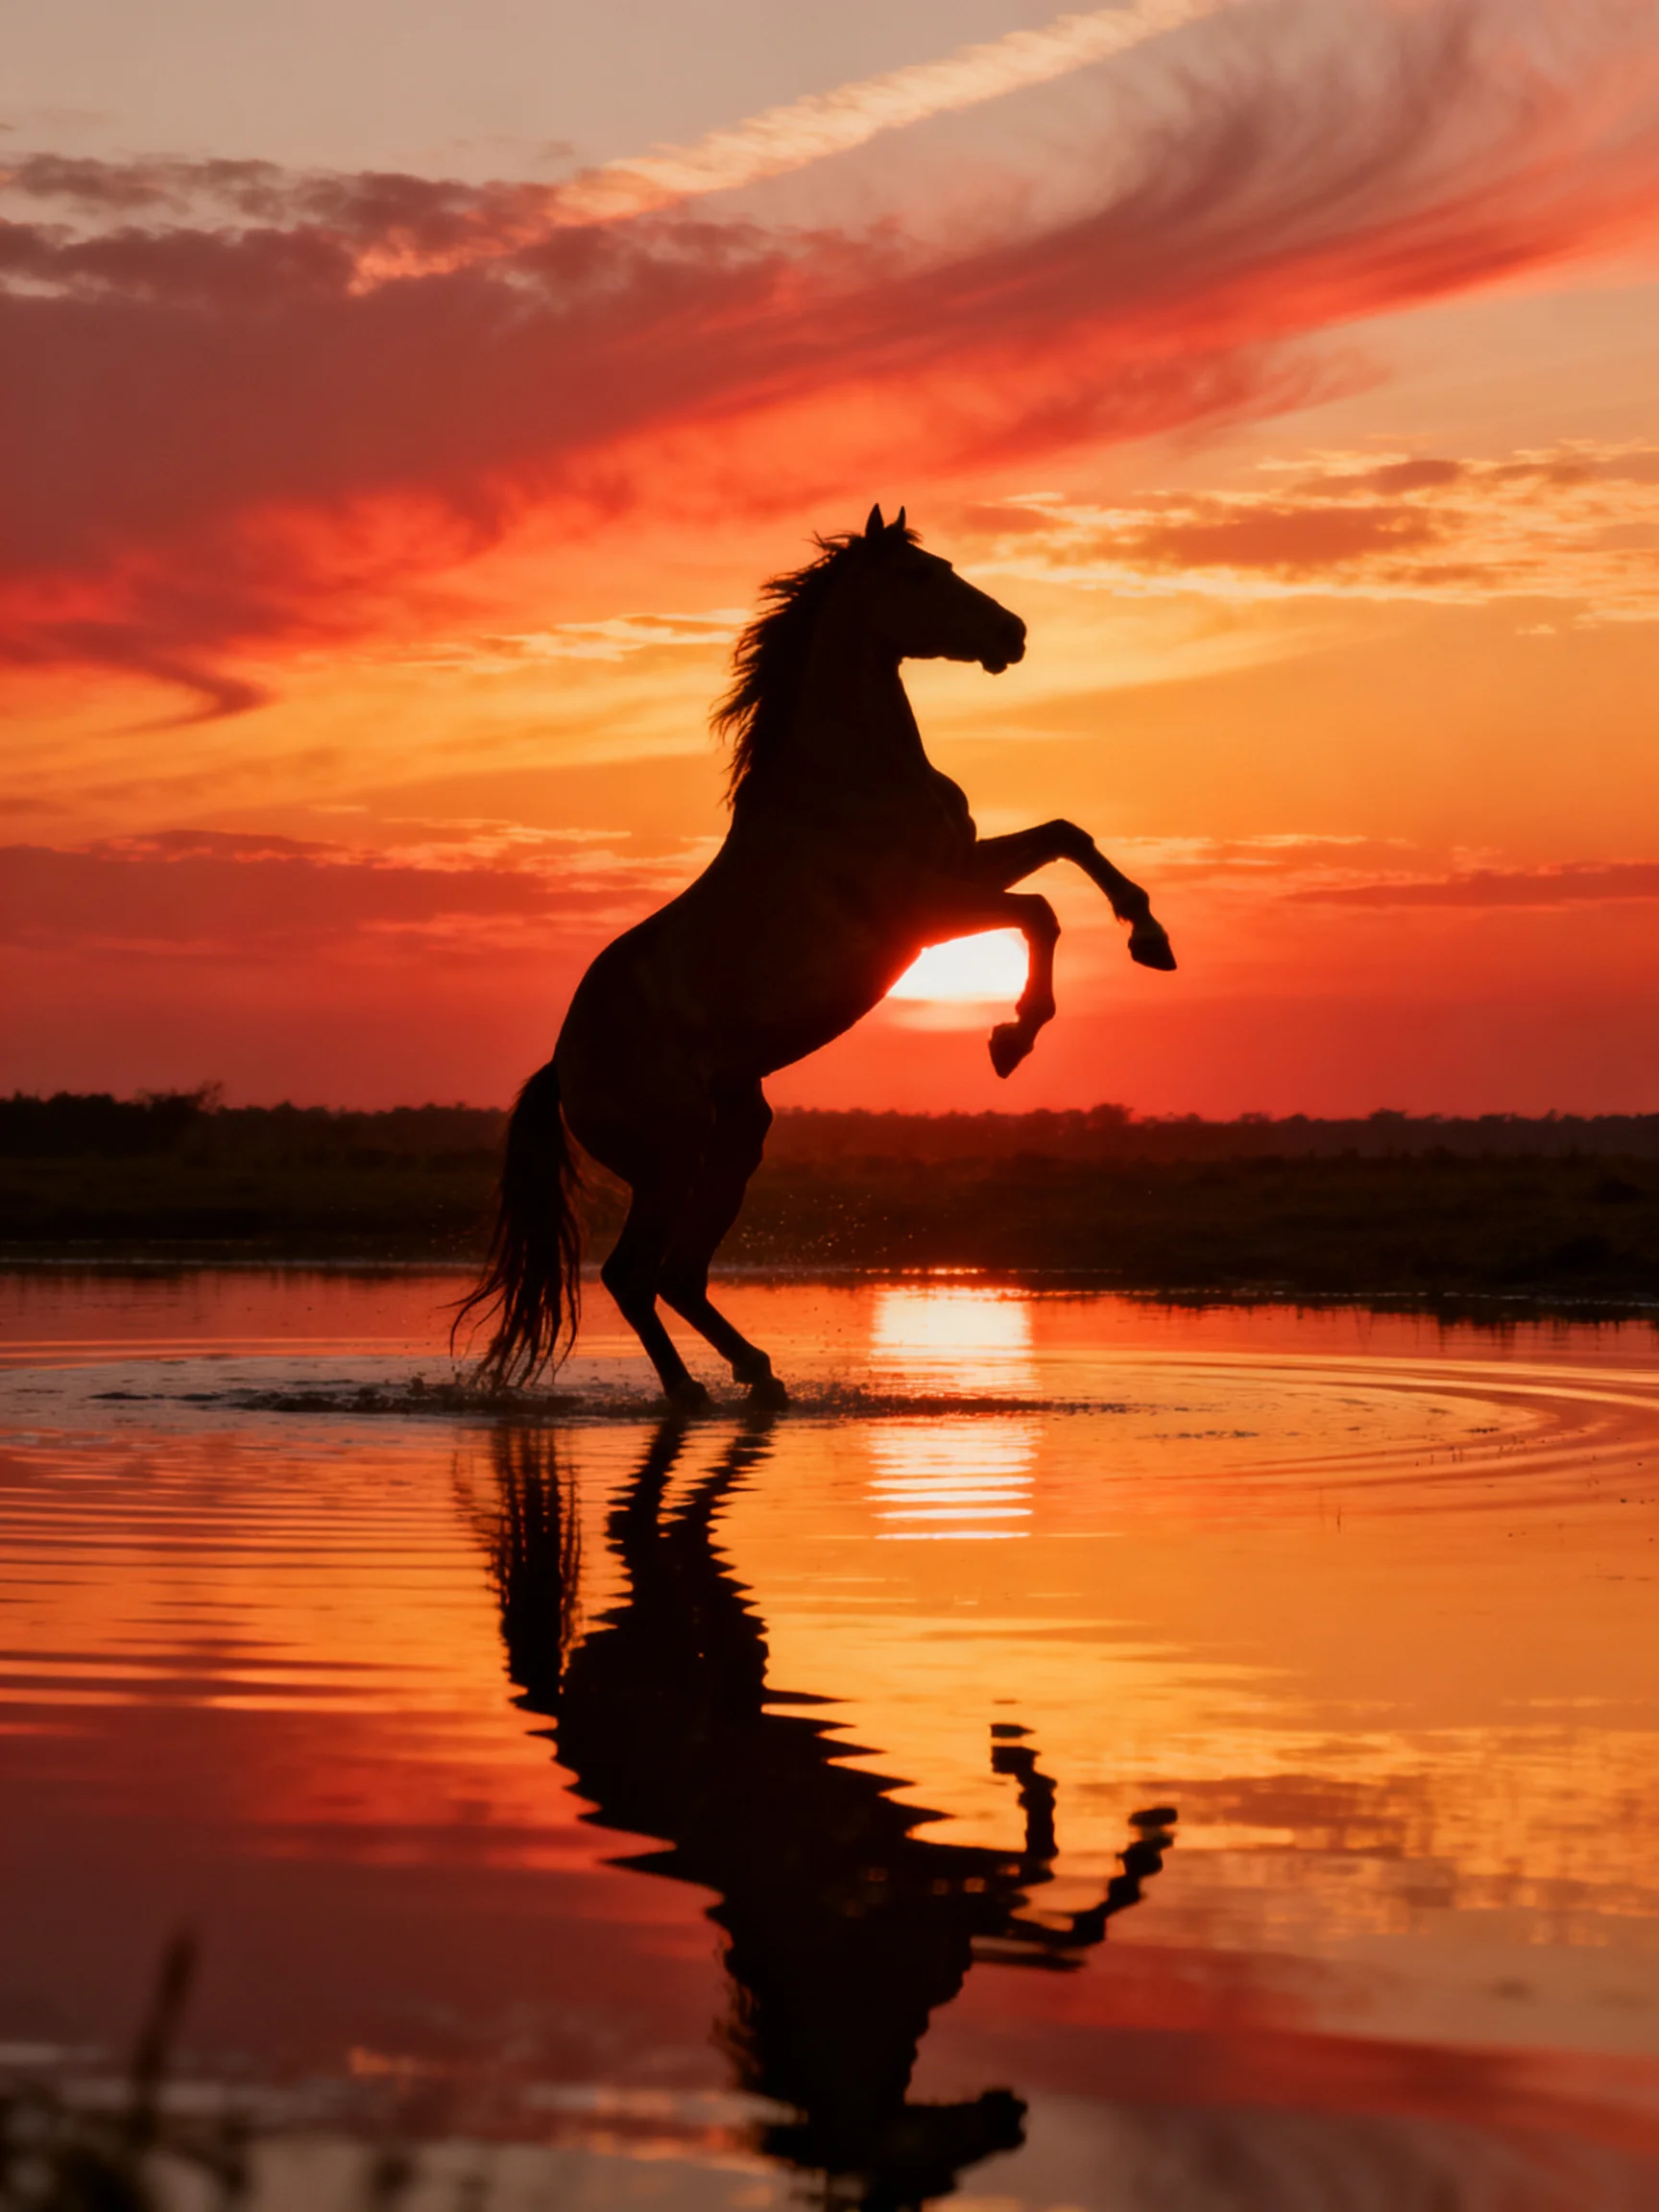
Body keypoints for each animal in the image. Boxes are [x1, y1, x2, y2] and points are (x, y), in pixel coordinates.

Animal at [458, 503, 1176, 1409]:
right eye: (919, 576)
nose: (1011, 633)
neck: (851, 780)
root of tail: (562, 1068)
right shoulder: (923, 917)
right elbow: (1040, 914)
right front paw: (1012, 1038)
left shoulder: (966, 870)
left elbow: (1067, 837)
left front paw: (1152, 940)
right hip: (671, 1155)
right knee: (632, 1273)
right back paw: (692, 1394)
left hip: (736, 1134)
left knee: (679, 1272)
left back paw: (761, 1376)